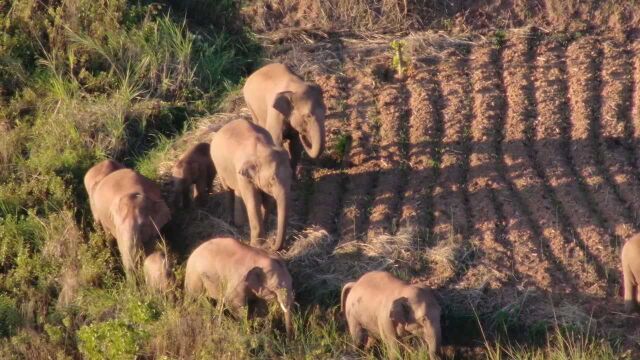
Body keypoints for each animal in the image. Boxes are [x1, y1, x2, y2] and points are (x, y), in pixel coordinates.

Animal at [210, 118, 292, 250]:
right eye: (272, 179)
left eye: (291, 174)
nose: (272, 245)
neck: (261, 149)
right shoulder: (243, 175)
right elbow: (253, 201)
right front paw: (258, 245)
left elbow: (266, 199)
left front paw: (266, 229)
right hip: (219, 167)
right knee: (228, 190)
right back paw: (231, 222)